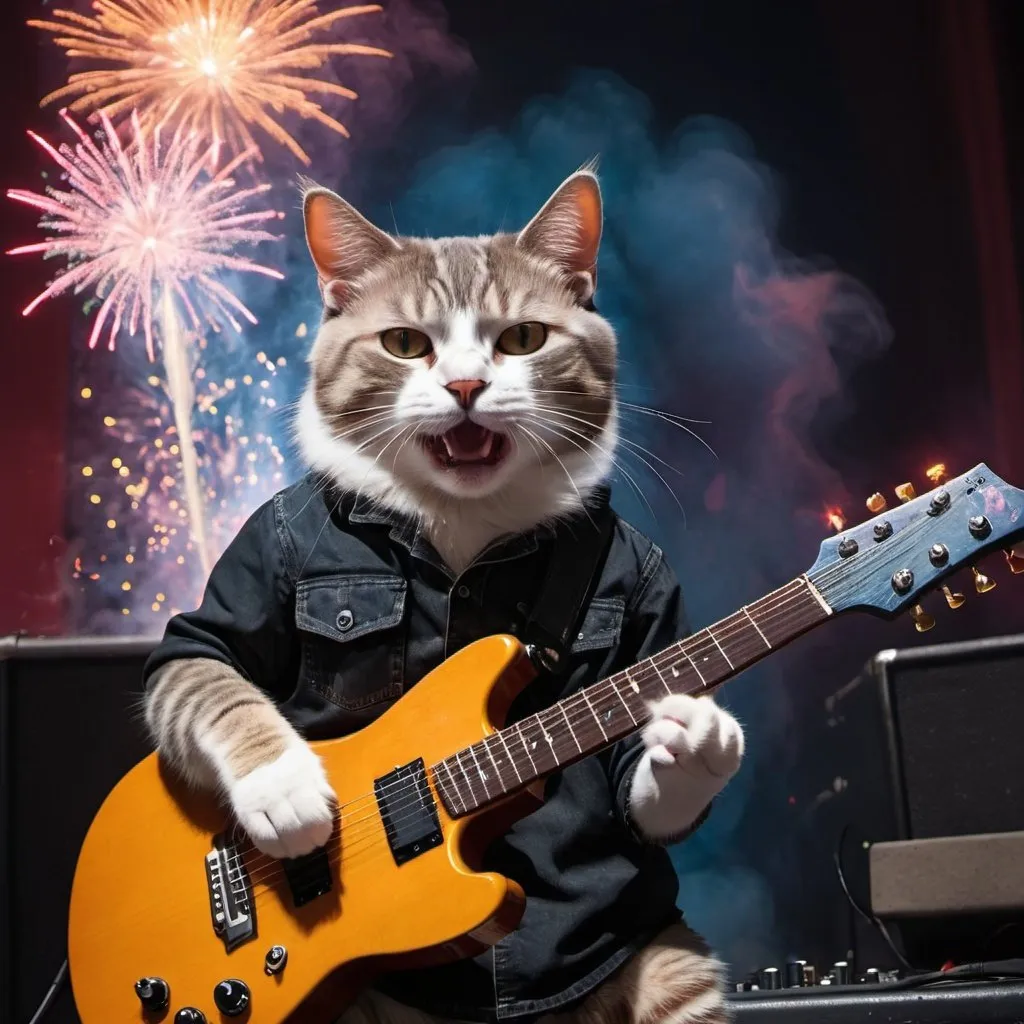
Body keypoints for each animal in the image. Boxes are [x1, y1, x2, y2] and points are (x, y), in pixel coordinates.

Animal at [144, 169, 741, 1024]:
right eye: (404, 344)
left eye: (524, 339)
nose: (466, 384)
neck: (464, 523)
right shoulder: (251, 566)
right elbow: (208, 672)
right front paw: (283, 789)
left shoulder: (649, 582)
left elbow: (639, 778)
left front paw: (698, 741)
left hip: (668, 972)